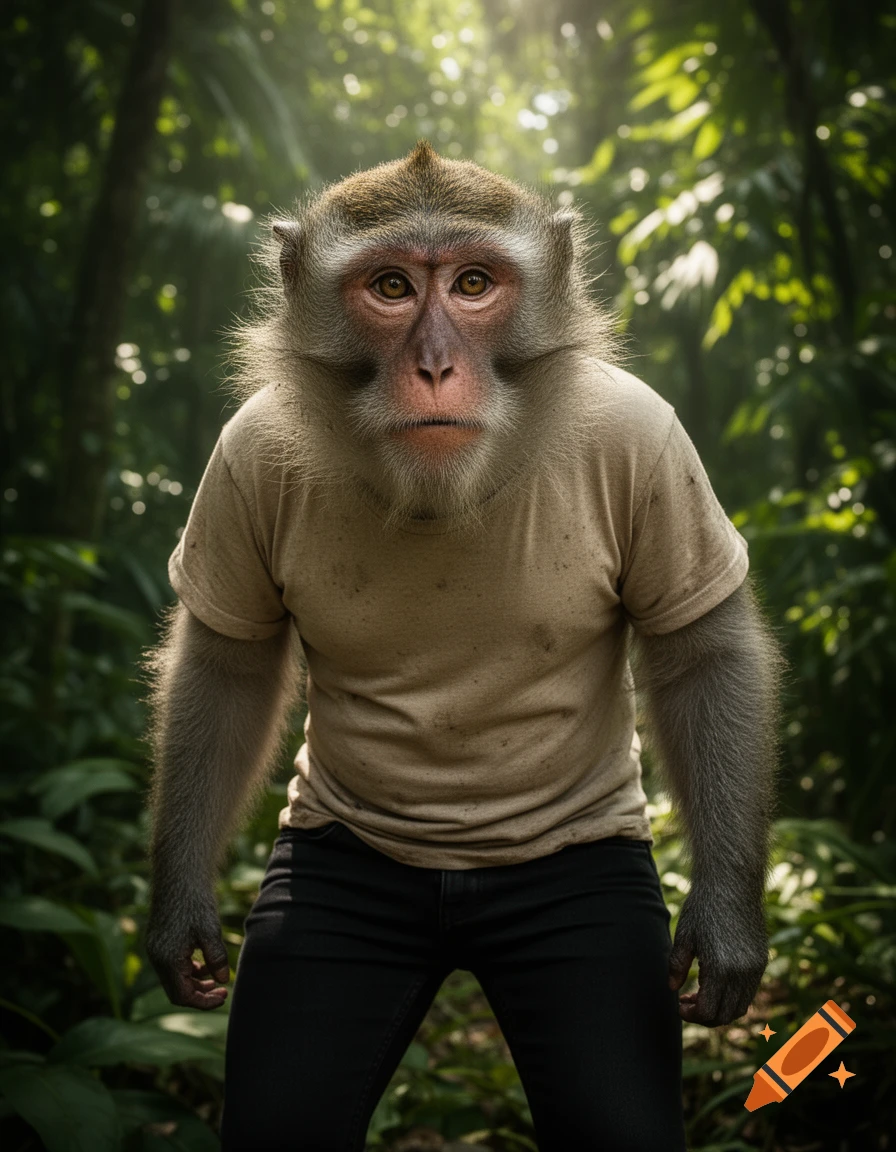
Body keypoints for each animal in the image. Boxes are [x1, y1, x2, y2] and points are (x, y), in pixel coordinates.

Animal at [144, 141, 781, 1151]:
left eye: (475, 284)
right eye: (392, 287)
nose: (437, 365)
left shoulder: (653, 442)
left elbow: (698, 652)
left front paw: (724, 926)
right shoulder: (238, 461)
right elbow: (228, 668)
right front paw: (179, 918)